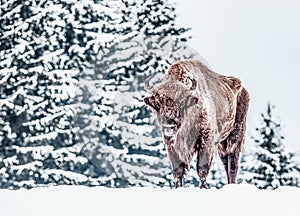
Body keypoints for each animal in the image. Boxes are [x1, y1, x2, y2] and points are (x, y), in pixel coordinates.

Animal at [144, 58, 250, 187]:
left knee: (233, 164)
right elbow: (178, 171)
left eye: (182, 103)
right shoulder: (171, 145)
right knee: (226, 163)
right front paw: (178, 187)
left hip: (236, 136)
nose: (169, 126)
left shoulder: (206, 141)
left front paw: (203, 187)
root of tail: (243, 90)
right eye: (158, 104)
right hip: (222, 144)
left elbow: (202, 168)